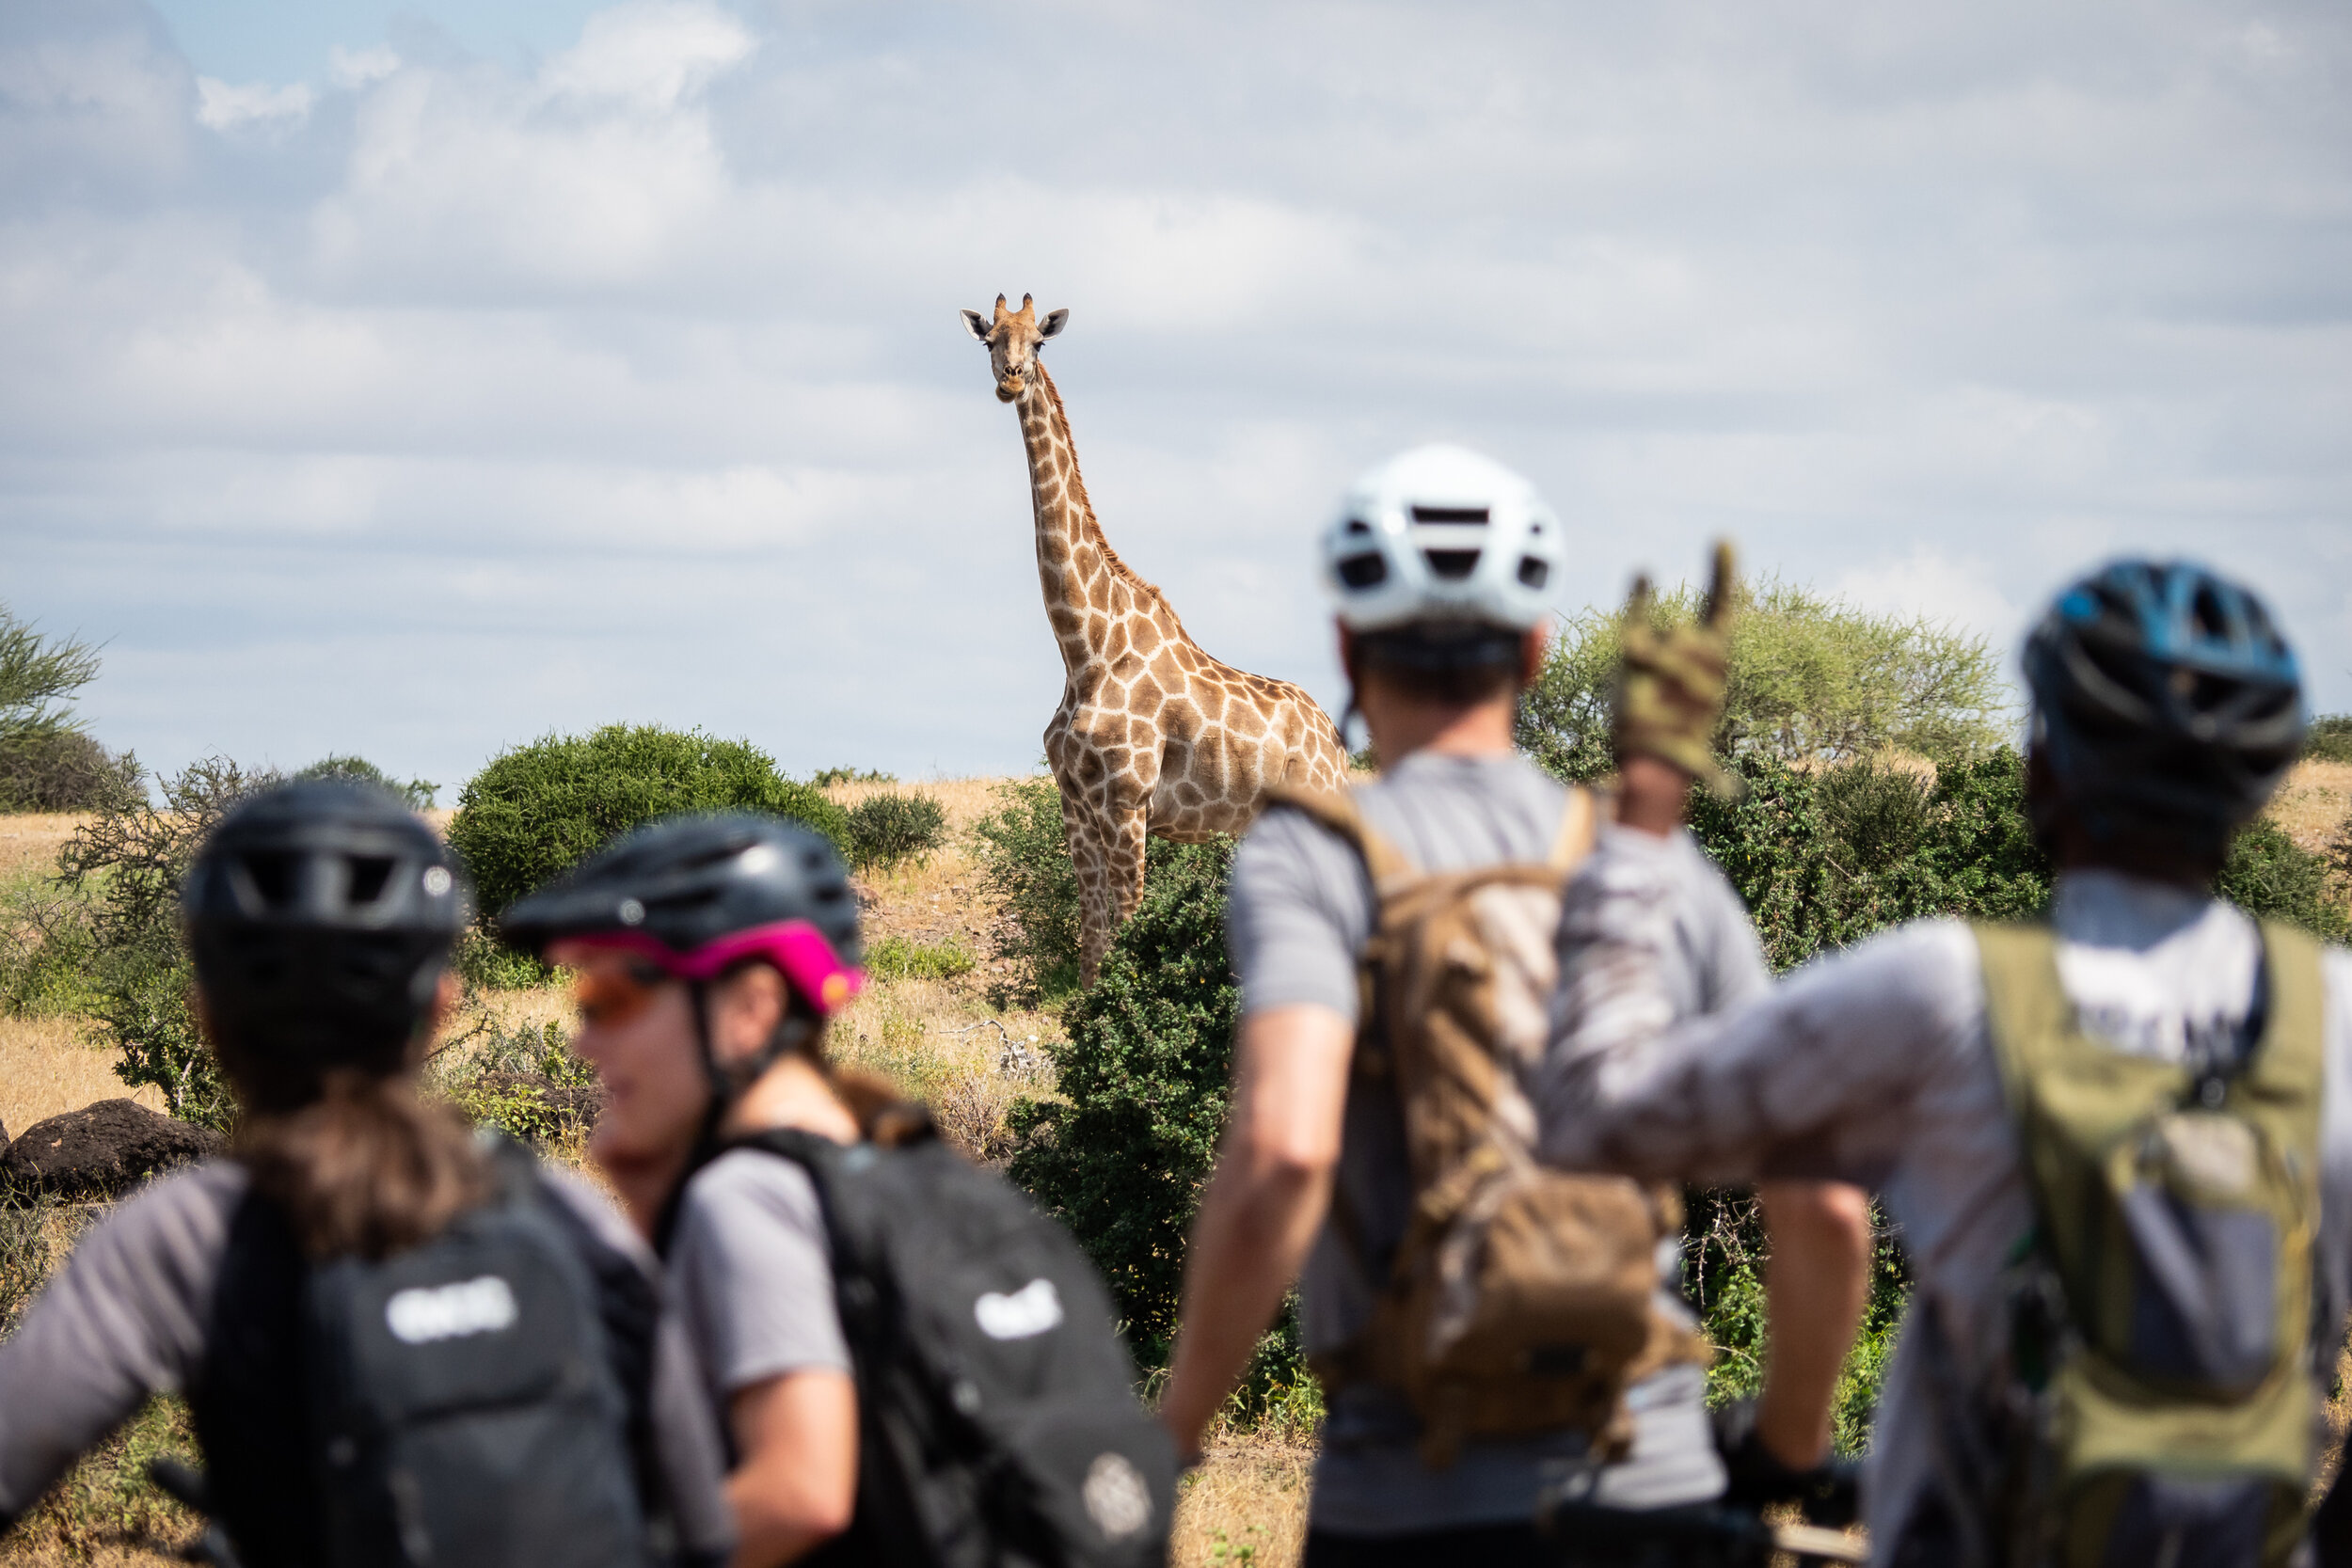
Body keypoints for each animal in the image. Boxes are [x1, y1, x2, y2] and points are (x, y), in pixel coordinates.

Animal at [964, 293, 1355, 982]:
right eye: (990, 339)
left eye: (1039, 342)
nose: (1011, 380)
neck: (1083, 647)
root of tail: (1336, 746)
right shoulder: (1076, 805)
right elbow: (1092, 936)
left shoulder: (1128, 802)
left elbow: (1127, 924)